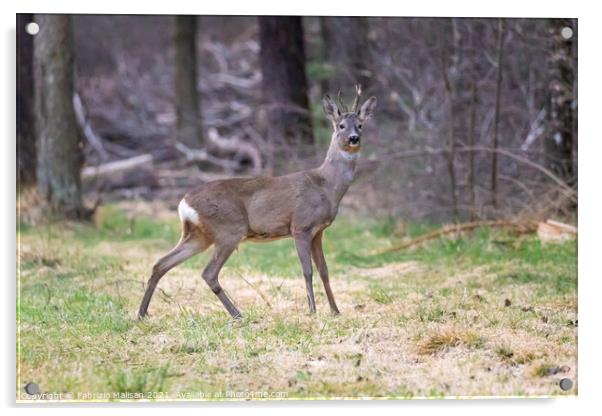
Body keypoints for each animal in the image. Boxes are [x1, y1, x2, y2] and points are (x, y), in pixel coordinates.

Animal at [138, 85, 378, 318]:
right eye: (340, 126)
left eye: (360, 125)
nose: (354, 138)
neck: (326, 186)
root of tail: (183, 203)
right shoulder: (300, 226)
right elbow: (307, 270)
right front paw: (312, 310)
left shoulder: (319, 231)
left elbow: (325, 270)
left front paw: (335, 311)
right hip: (229, 228)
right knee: (208, 273)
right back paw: (237, 313)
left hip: (199, 235)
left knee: (161, 264)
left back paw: (142, 313)